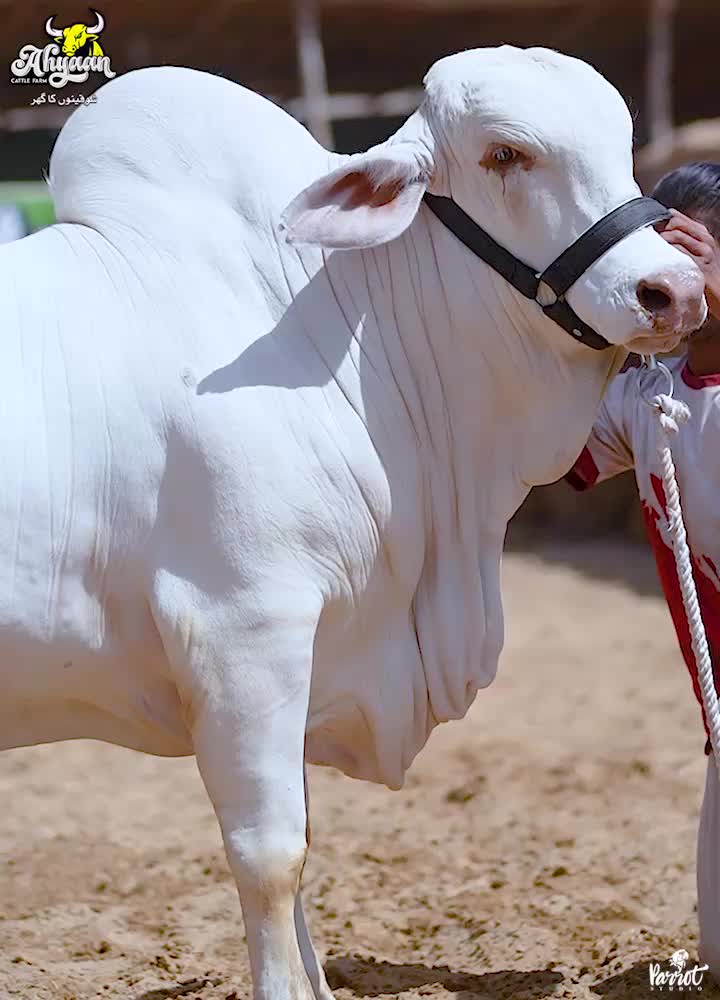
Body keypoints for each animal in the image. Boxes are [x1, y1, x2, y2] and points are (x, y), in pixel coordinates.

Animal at [0, 48, 706, 1000]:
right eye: (505, 155)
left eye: (624, 139)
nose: (671, 290)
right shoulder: (243, 631)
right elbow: (270, 857)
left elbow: (303, 841)